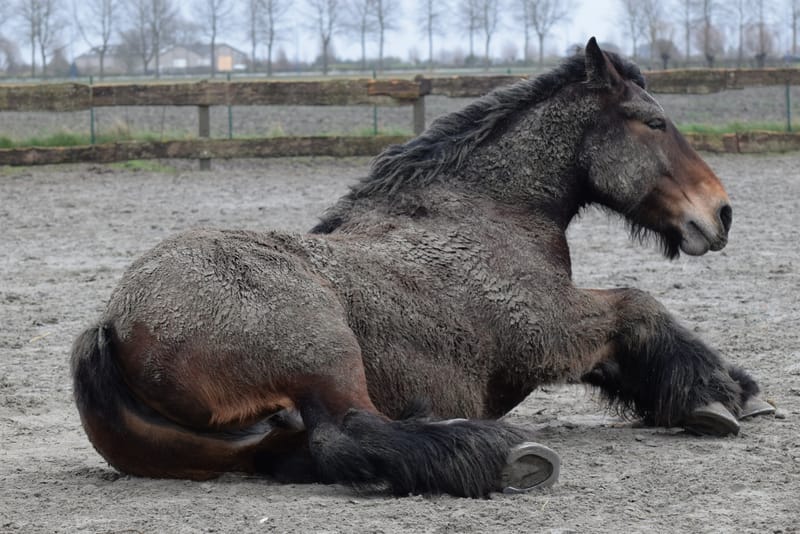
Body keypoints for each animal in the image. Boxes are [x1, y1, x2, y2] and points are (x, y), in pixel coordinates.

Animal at [71, 38, 774, 498]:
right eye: (654, 122)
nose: (720, 213)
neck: (486, 208)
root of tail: (113, 325)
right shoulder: (547, 331)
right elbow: (639, 305)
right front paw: (713, 393)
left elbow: (633, 345)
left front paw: (734, 390)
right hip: (324, 351)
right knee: (347, 433)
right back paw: (497, 453)